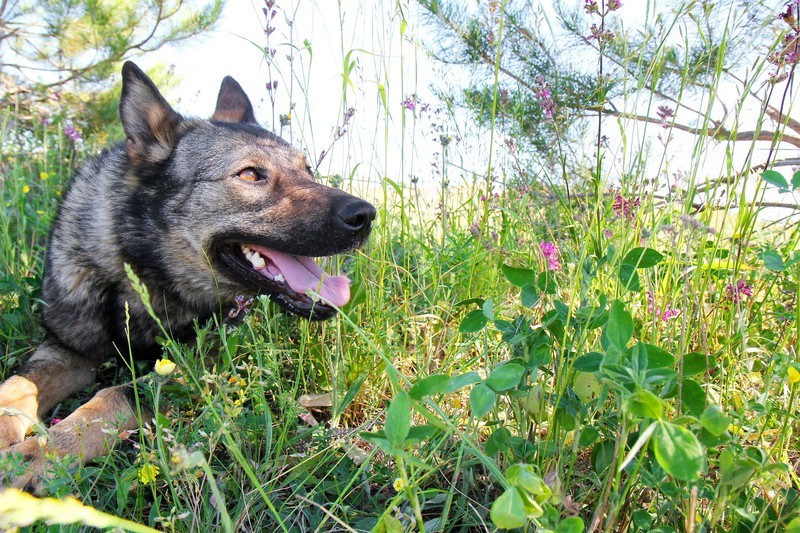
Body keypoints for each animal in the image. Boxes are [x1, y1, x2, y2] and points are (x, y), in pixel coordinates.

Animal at [0, 63, 376, 494]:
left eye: (308, 170)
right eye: (251, 174)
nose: (366, 215)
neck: (143, 274)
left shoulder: (193, 365)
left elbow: (112, 396)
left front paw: (38, 454)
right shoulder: (65, 349)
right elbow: (16, 386)